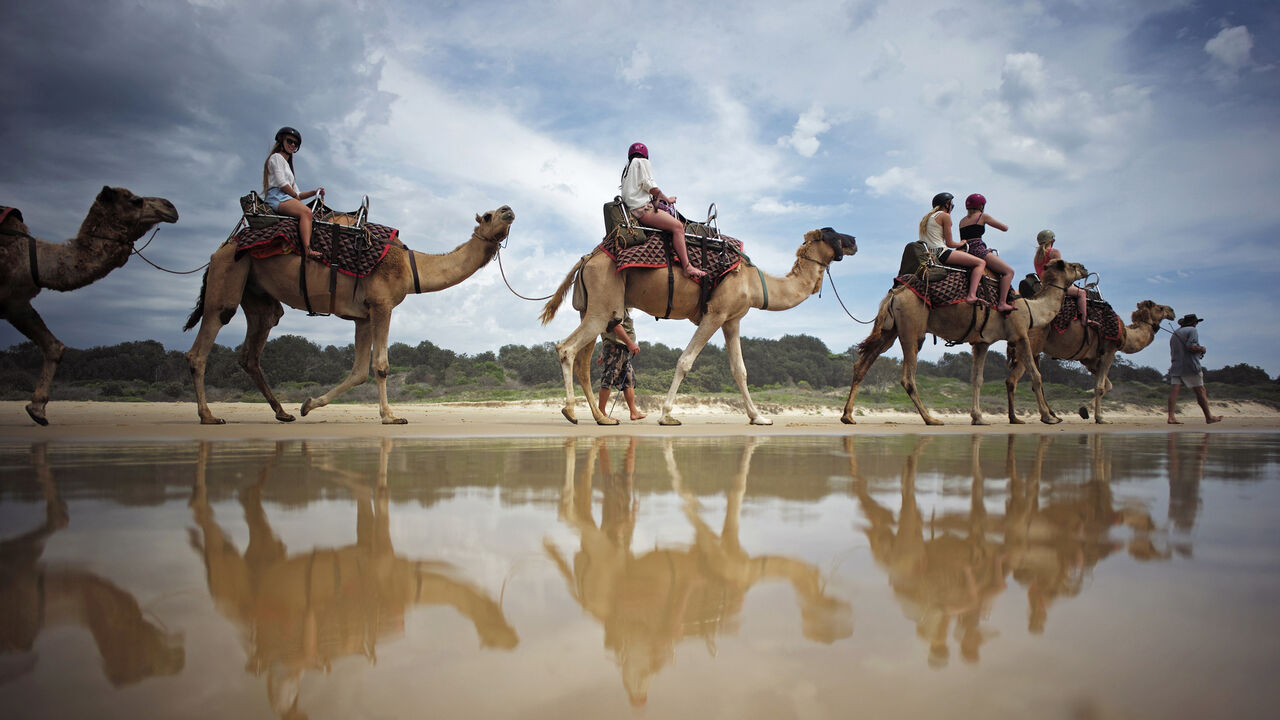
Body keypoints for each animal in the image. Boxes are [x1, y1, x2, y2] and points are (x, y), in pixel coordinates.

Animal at [1, 187, 179, 425]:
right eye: (135, 201)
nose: (171, 207)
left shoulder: (15, 302)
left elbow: (54, 346)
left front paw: (37, 410)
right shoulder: (10, 300)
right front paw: (37, 409)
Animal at [183, 206, 514, 424]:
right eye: (488, 216)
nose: (508, 209)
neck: (411, 268)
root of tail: (221, 248)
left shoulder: (363, 315)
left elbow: (358, 372)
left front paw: (307, 404)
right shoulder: (382, 304)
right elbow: (380, 365)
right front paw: (391, 416)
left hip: (257, 294)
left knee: (253, 349)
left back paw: (283, 412)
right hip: (229, 274)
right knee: (205, 340)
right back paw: (208, 415)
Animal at [539, 227, 857, 426]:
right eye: (832, 233)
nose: (854, 239)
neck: (756, 283)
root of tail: (587, 259)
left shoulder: (732, 319)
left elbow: (740, 370)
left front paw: (758, 417)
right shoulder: (715, 314)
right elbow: (685, 361)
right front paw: (667, 415)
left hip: (595, 310)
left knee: (583, 363)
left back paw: (602, 417)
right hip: (603, 307)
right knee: (566, 348)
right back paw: (570, 411)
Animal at [839, 257, 1087, 426]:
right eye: (1071, 266)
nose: (1085, 268)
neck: (1031, 309)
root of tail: (894, 293)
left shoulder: (981, 342)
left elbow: (977, 379)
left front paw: (978, 418)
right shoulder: (1019, 334)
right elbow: (1036, 375)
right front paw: (1049, 417)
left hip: (889, 331)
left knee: (861, 365)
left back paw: (848, 416)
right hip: (912, 328)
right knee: (907, 377)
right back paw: (930, 419)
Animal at [1005, 299, 1175, 424]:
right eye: (1160, 308)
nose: (1172, 311)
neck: (1127, 334)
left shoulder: (1089, 360)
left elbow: (1108, 385)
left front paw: (1084, 410)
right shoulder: (1109, 350)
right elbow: (1100, 386)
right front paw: (1100, 418)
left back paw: (1035, 416)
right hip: (1029, 344)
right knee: (1019, 379)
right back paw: (1039, 417)